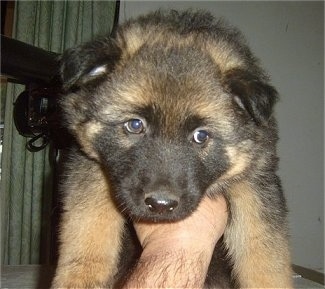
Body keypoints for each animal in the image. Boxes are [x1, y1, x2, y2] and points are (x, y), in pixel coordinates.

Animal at [52, 9, 292, 288]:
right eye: (135, 125)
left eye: (201, 136)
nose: (161, 204)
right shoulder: (89, 163)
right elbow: (88, 230)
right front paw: (80, 279)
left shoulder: (257, 181)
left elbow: (264, 253)